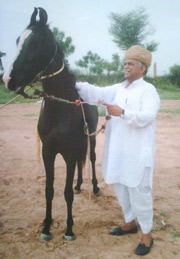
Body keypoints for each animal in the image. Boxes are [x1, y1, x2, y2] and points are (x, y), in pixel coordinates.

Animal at [3, 7, 100, 243]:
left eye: (35, 43)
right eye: (18, 40)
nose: (8, 79)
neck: (60, 108)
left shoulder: (68, 152)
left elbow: (65, 193)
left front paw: (69, 230)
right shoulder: (48, 151)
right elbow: (49, 190)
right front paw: (46, 227)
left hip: (92, 137)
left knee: (92, 159)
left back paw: (94, 187)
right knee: (81, 165)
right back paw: (79, 184)